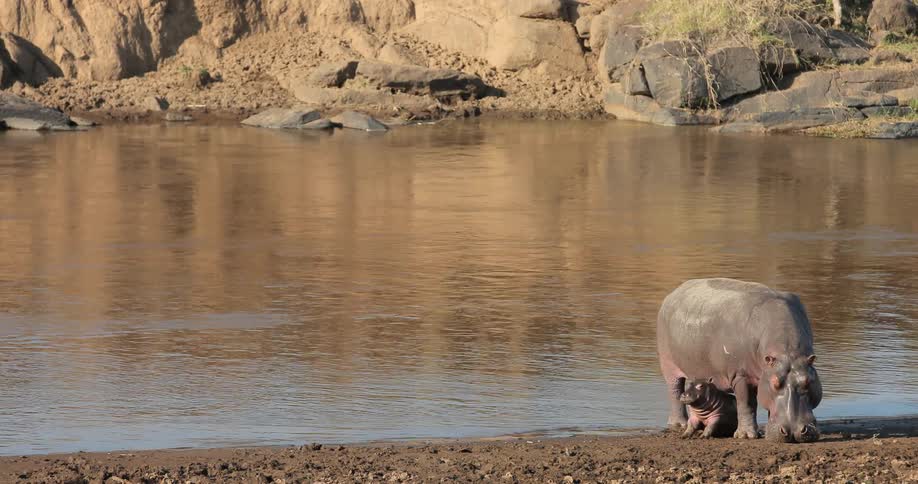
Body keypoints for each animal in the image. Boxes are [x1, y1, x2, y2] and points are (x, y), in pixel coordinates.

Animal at [657, 278, 823, 443]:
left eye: (808, 382)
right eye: (774, 383)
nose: (793, 432)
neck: (787, 353)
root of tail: (674, 292)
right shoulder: (741, 375)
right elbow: (746, 403)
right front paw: (746, 435)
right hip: (668, 364)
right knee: (675, 391)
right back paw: (679, 425)